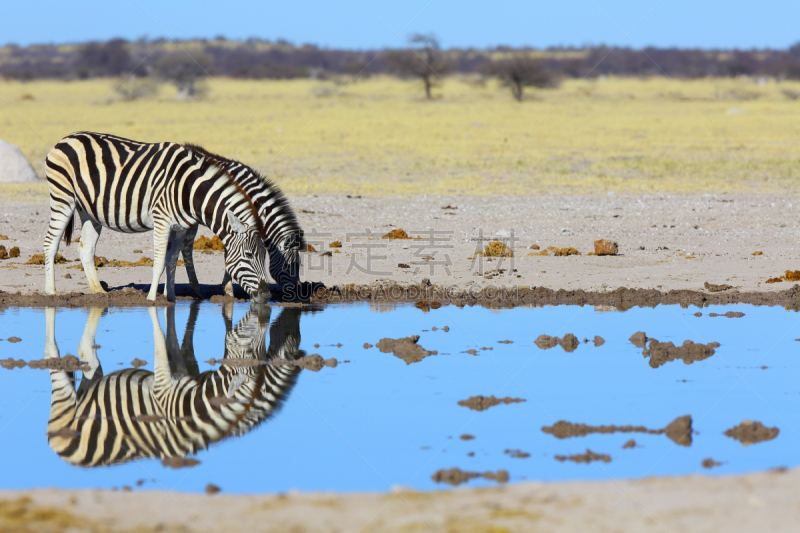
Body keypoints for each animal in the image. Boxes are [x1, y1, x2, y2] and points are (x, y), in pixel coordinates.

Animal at [44, 131, 306, 302]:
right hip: (63, 197)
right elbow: (164, 259)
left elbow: (173, 258)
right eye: (290, 265)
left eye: (265, 256)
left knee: (86, 248)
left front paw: (171, 296)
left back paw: (98, 292)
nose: (267, 295)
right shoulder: (165, 221)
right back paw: (51, 292)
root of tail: (67, 137)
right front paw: (155, 298)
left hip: (90, 210)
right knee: (50, 242)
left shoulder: (186, 224)